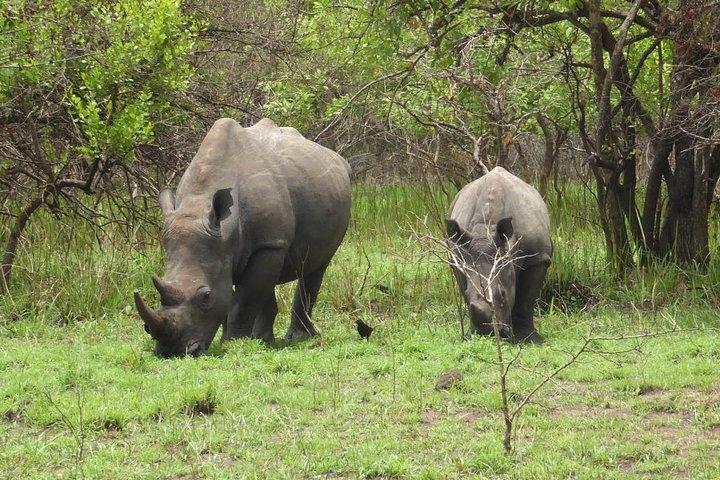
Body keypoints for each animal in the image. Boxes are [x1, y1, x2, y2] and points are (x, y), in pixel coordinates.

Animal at [134, 118, 351, 357]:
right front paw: (246, 341)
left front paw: (233, 343)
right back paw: (263, 338)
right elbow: (242, 296)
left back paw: (298, 338)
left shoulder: (269, 244)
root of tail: (338, 158)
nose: (172, 352)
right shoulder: (229, 250)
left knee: (317, 266)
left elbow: (243, 301)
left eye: (206, 296)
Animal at [446, 167, 552, 343]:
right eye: (467, 295)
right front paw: (469, 336)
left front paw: (531, 340)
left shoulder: (537, 258)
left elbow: (526, 300)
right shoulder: (458, 260)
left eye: (502, 294)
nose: (485, 332)